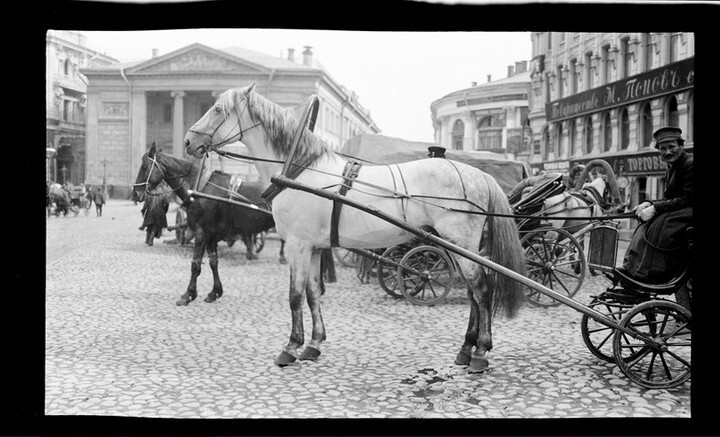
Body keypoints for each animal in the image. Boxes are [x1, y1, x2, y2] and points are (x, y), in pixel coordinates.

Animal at [183, 84, 524, 372]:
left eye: (217, 109)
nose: (188, 140)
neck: (300, 170)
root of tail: (478, 174)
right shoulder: (314, 247)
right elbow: (312, 294)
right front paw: (313, 344)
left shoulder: (297, 245)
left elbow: (294, 296)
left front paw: (291, 347)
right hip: (458, 248)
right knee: (473, 293)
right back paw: (466, 349)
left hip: (462, 244)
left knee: (481, 290)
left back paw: (480, 352)